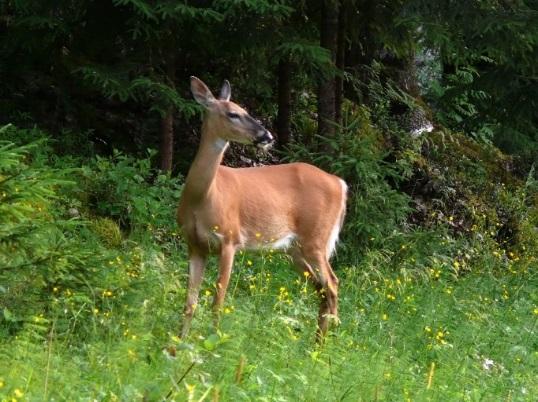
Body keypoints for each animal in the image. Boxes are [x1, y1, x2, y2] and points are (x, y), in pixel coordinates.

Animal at [178, 76, 346, 340]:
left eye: (245, 110)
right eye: (233, 114)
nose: (266, 135)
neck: (202, 198)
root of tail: (340, 183)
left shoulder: (230, 239)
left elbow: (218, 301)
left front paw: (213, 340)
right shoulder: (195, 245)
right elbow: (190, 303)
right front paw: (176, 343)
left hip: (316, 239)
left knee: (332, 284)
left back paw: (326, 344)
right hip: (294, 250)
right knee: (321, 289)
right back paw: (315, 343)